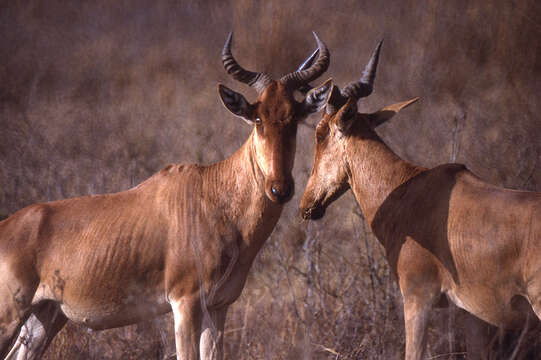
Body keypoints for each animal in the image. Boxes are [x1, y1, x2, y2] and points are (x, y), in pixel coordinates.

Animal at [1, 32, 334, 358]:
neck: (212, 194)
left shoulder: (218, 308)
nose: (280, 189)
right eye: (258, 118)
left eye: (293, 119)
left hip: (45, 317)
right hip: (10, 315)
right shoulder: (184, 303)